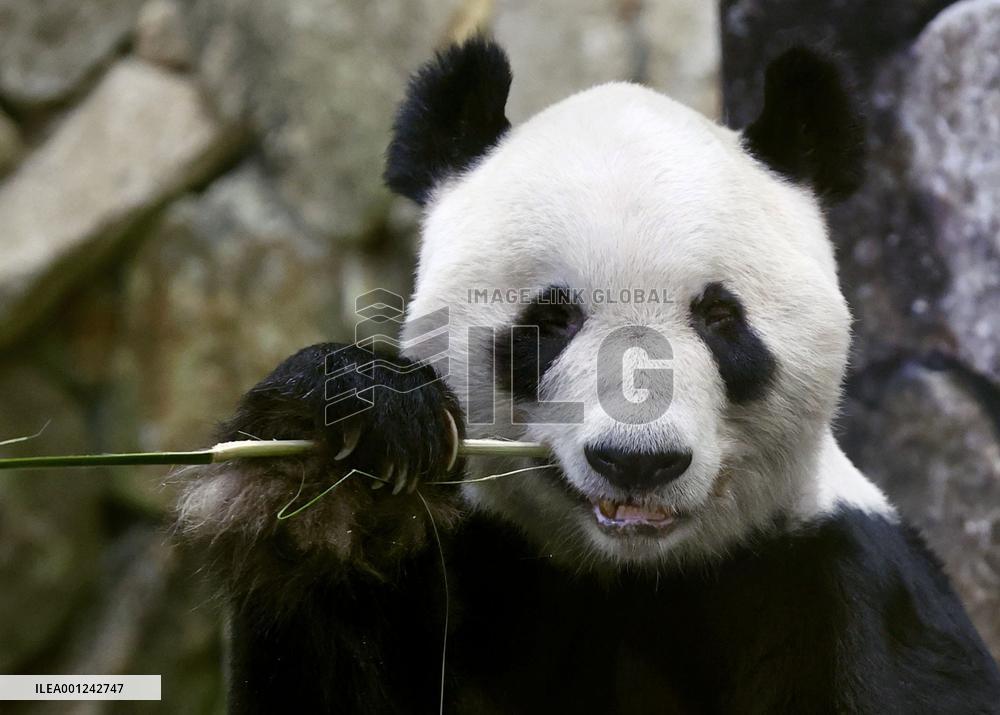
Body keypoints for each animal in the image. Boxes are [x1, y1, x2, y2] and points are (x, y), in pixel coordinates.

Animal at [178, 37, 1000, 714]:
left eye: (719, 317)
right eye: (551, 321)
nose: (638, 463)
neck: (633, 577)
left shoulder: (846, 587)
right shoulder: (471, 583)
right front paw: (348, 446)